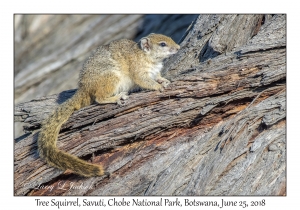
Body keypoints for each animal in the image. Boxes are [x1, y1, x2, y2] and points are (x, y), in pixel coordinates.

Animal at [36, 33, 179, 177]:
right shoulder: (138, 70)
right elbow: (145, 81)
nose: (178, 47)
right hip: (111, 77)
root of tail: (84, 88)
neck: (147, 56)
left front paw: (164, 80)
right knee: (99, 98)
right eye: (162, 44)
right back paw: (117, 97)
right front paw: (158, 86)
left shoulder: (155, 71)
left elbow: (158, 76)